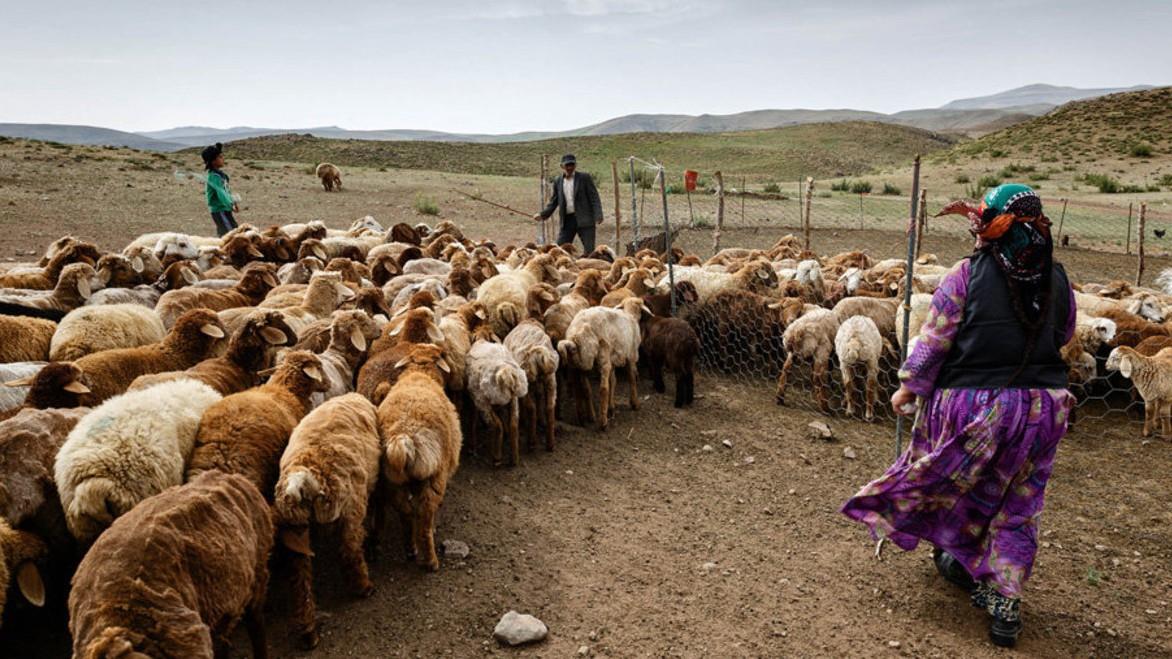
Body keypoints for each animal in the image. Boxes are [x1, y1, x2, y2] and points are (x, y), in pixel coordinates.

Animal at [271, 391, 377, 642]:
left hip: (296, 526)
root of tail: (301, 480)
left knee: (299, 574)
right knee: (350, 550)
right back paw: (363, 587)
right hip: (351, 508)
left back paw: (307, 631)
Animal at [379, 344, 461, 569]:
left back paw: (410, 549)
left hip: (393, 482)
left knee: (406, 513)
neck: (420, 372)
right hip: (434, 476)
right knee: (424, 517)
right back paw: (431, 561)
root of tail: (402, 437)